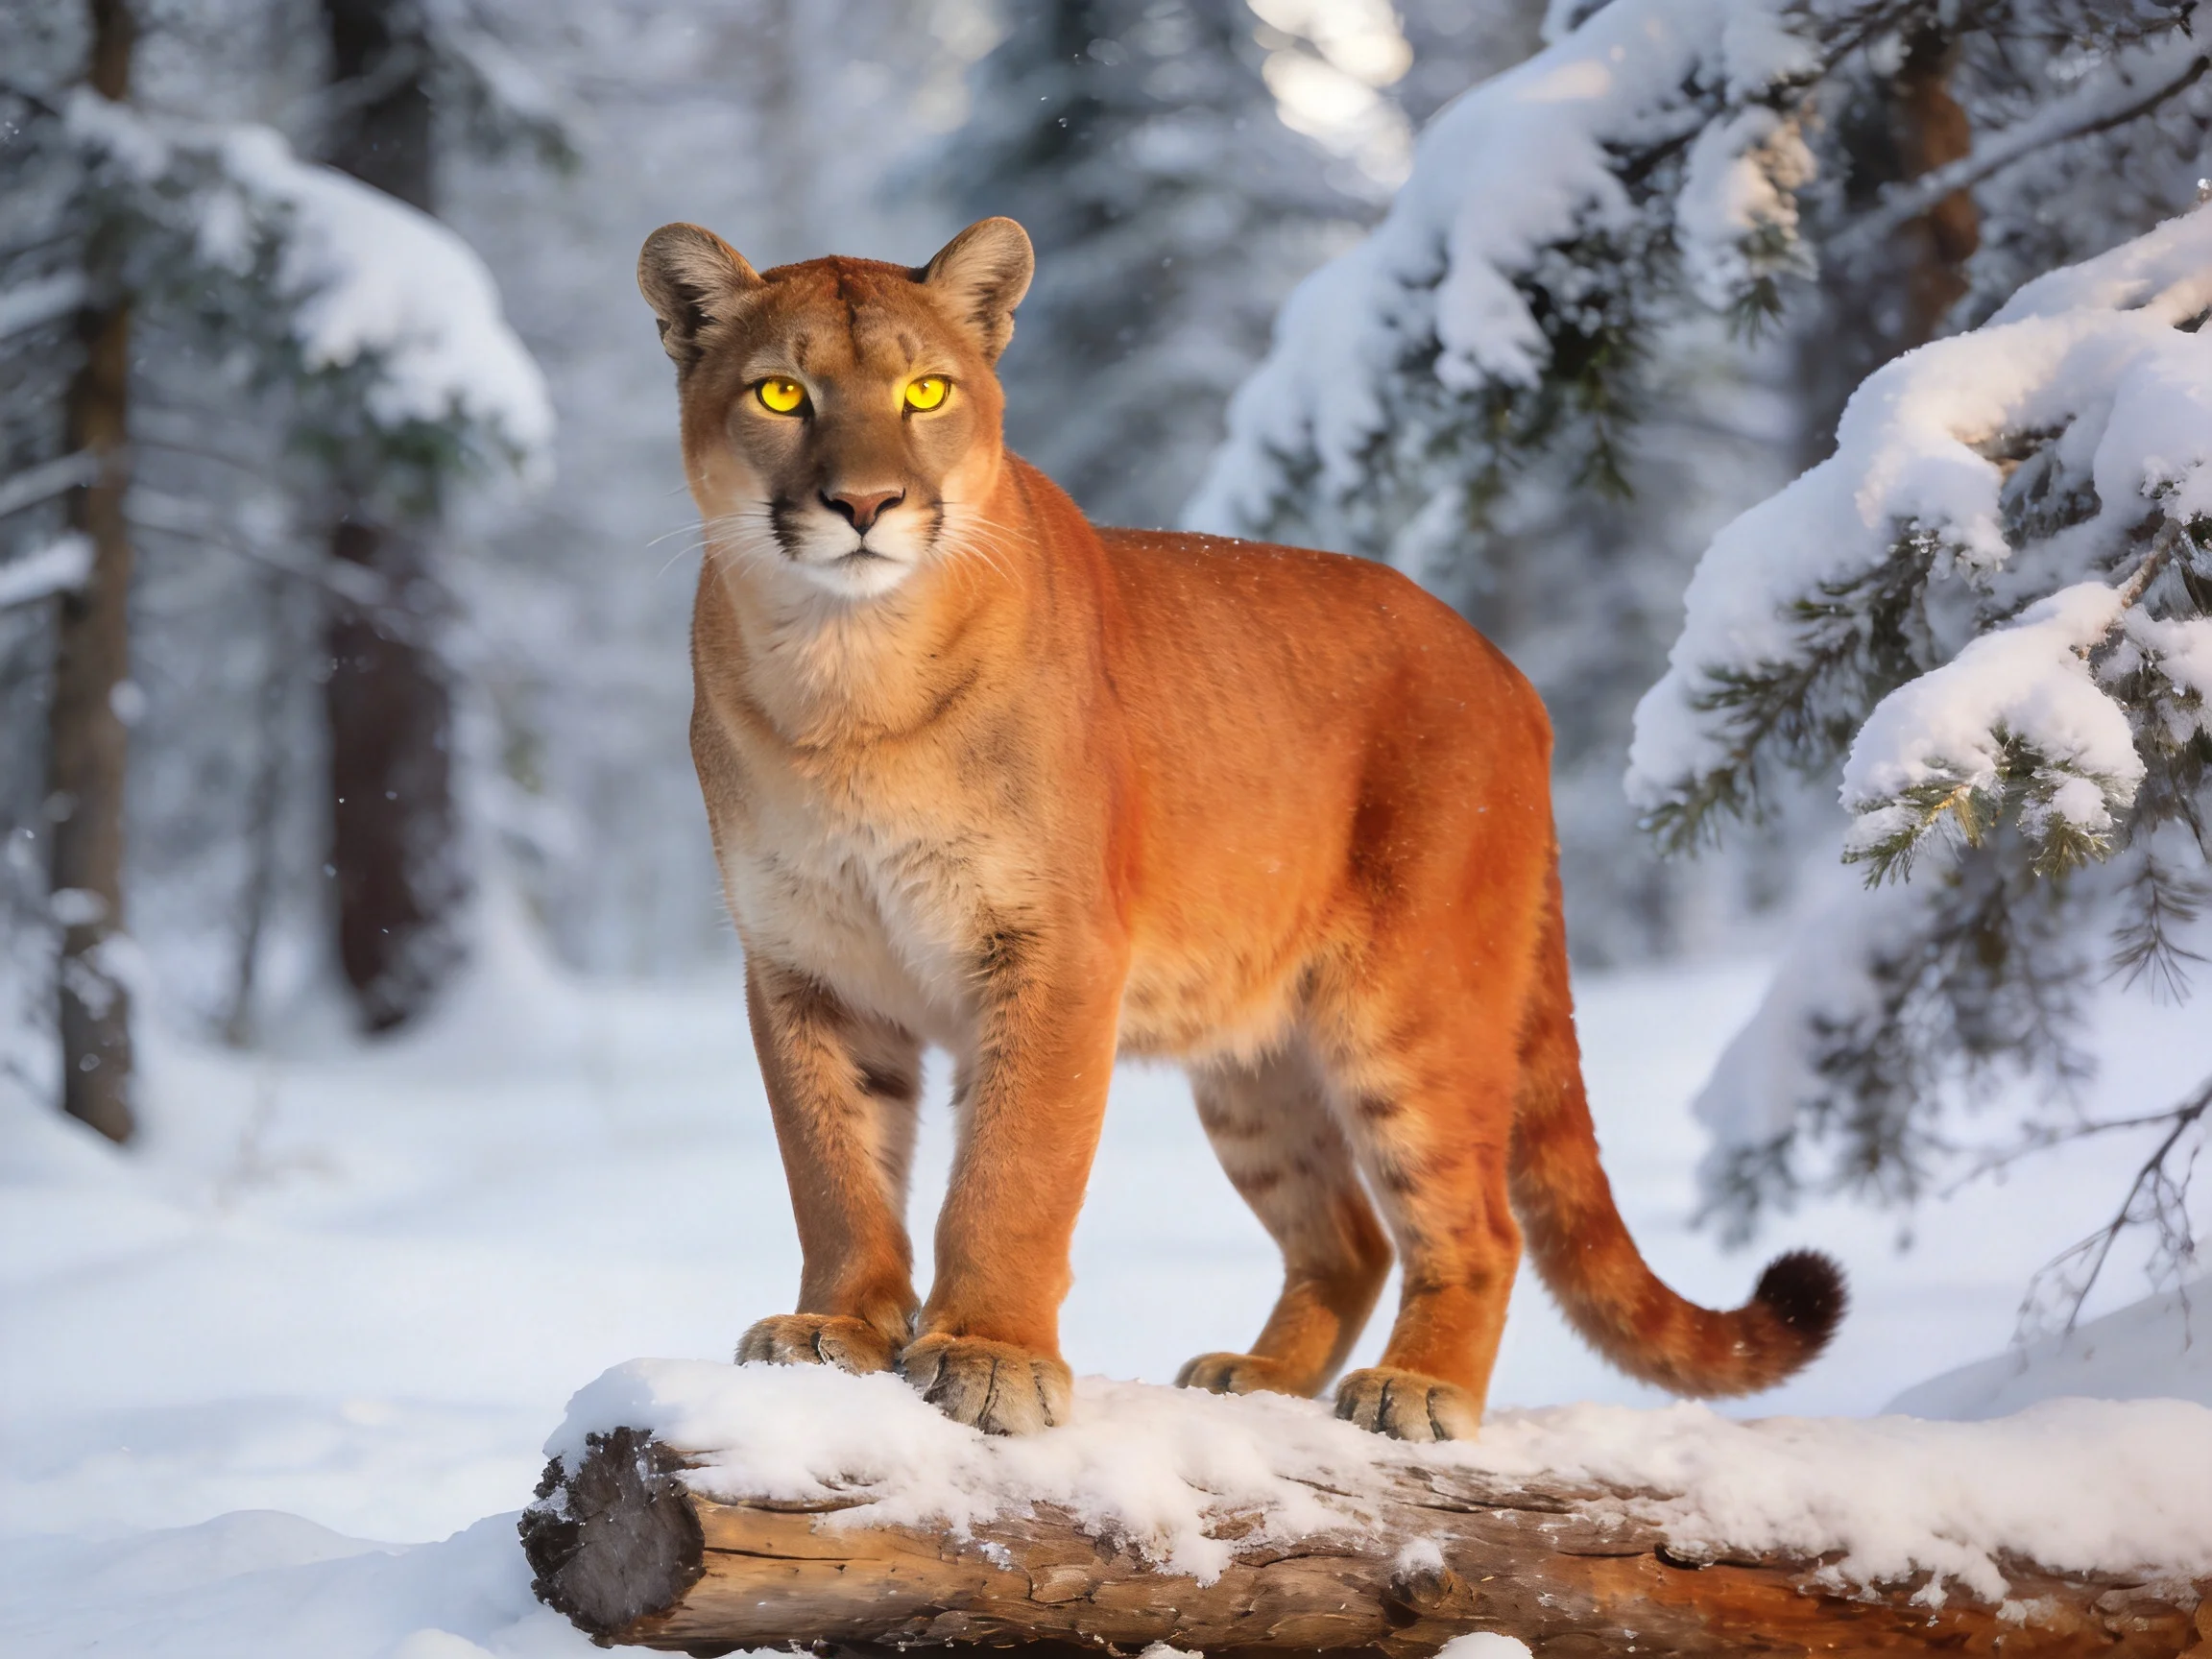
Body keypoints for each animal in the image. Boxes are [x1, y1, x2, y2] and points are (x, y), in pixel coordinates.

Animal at [638, 214, 1844, 1439]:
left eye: (926, 390)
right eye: (781, 394)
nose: (866, 505)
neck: (847, 675)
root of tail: (1508, 670)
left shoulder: (1052, 952)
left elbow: (1014, 1168)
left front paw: (988, 1354)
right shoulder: (803, 962)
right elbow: (833, 1165)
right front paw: (834, 1332)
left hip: (1414, 1006)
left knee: (1478, 1227)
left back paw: (1418, 1390)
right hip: (1255, 1059)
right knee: (1348, 1235)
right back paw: (1258, 1379)